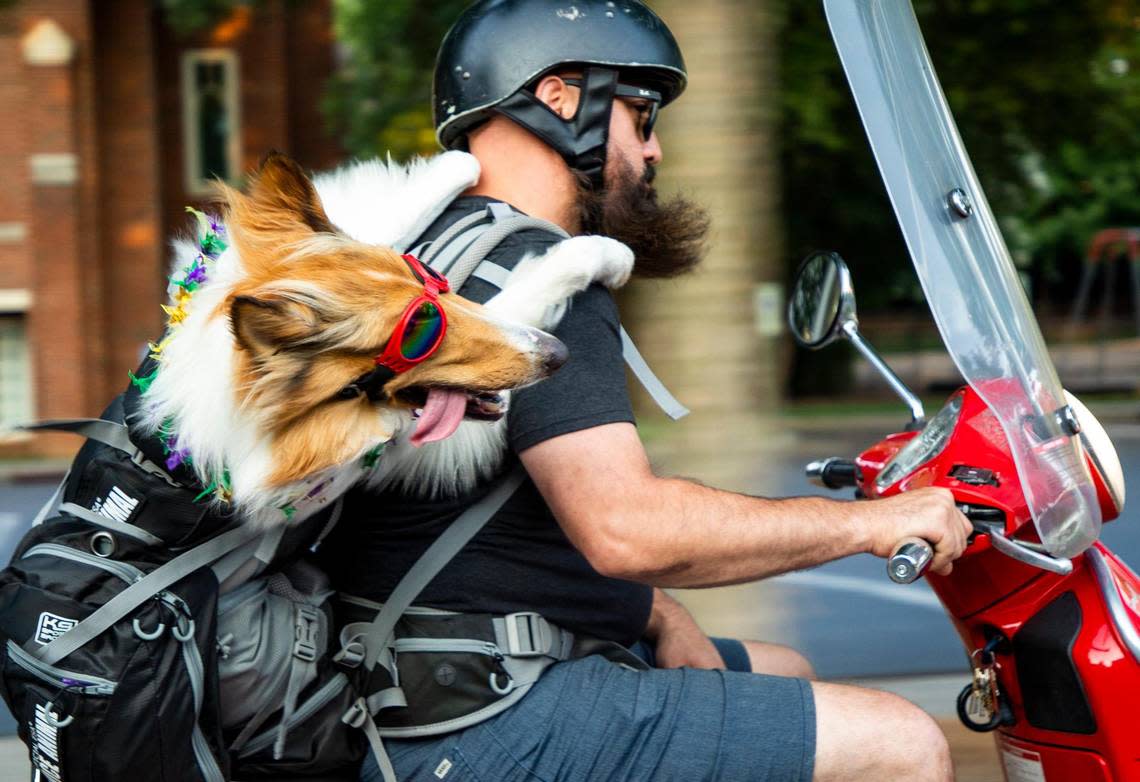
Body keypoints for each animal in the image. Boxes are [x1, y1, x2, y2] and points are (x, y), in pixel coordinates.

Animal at [135, 151, 633, 533]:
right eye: (419, 336)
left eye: (436, 282)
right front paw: (603, 253)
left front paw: (456, 161)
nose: (558, 354)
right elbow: (521, 295)